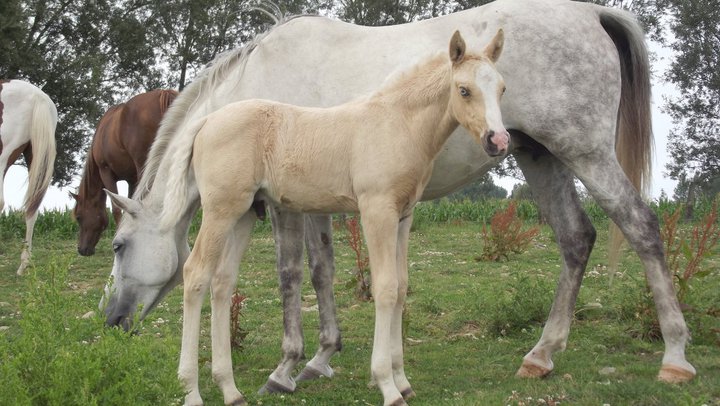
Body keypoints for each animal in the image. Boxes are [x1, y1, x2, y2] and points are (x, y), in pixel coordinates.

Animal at [71, 90, 177, 255]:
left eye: (78, 217)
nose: (82, 249)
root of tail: (164, 94)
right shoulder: (131, 179)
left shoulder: (106, 172)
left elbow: (116, 208)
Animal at [102, 0, 696, 398]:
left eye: (118, 245)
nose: (112, 320)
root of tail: (592, 12)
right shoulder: (317, 199)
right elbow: (322, 271)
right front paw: (322, 358)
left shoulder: (289, 206)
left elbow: (294, 274)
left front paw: (289, 367)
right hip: (540, 157)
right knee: (576, 238)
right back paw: (542, 355)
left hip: (585, 150)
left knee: (641, 227)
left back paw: (674, 355)